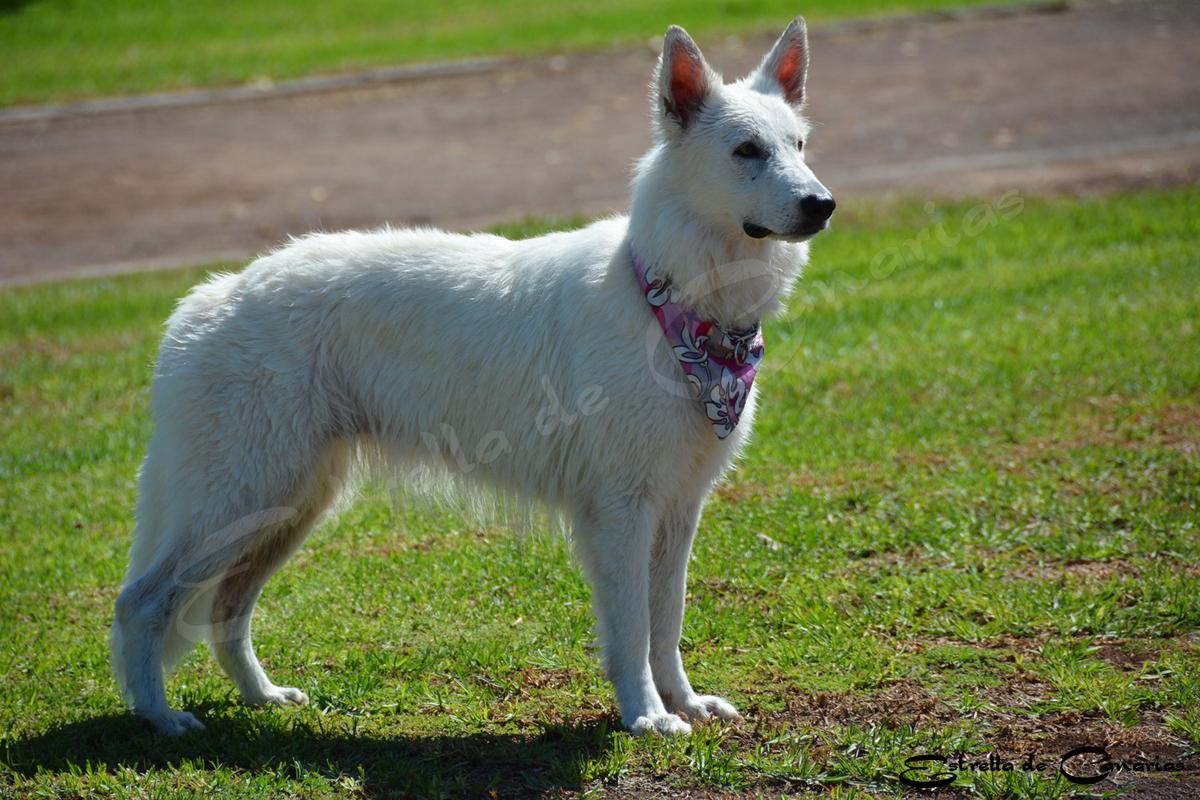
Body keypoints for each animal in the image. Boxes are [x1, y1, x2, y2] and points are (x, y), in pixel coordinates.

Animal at [112, 17, 835, 738]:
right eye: (746, 151)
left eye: (799, 145)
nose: (822, 204)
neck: (672, 297)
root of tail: (209, 299)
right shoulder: (622, 513)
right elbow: (632, 630)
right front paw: (646, 716)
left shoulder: (678, 511)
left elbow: (667, 623)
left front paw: (682, 703)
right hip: (238, 503)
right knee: (141, 602)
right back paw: (159, 717)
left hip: (284, 509)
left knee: (225, 611)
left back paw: (260, 697)